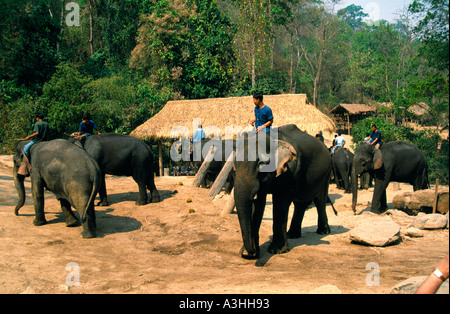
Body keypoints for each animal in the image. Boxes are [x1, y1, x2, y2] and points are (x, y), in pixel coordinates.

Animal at [234, 125, 332, 260]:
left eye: (261, 163)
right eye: (235, 163)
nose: (252, 253)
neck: (272, 138)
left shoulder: (290, 171)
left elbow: (280, 203)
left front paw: (277, 250)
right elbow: (260, 204)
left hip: (326, 174)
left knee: (320, 201)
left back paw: (323, 231)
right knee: (300, 203)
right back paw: (293, 235)